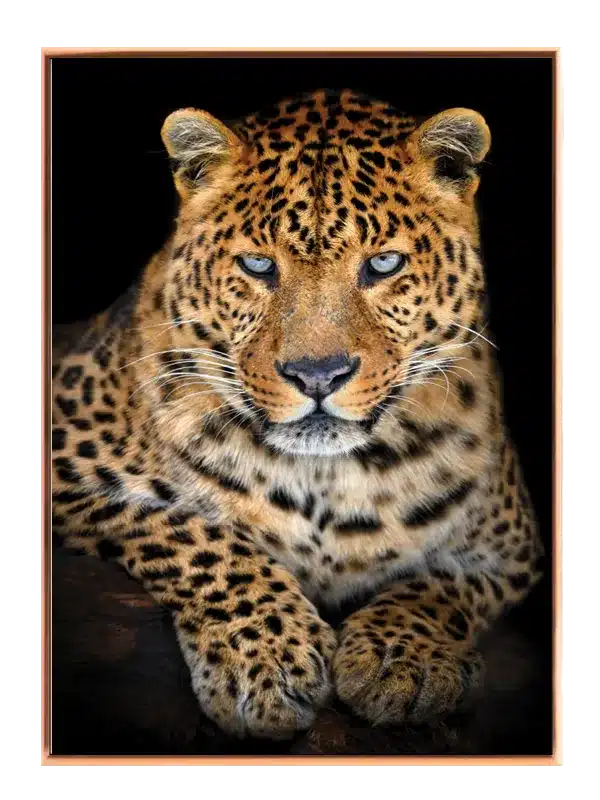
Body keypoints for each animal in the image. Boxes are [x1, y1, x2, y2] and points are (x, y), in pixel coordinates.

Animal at [51, 88, 544, 740]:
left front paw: (402, 659)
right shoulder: (66, 470)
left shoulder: (511, 546)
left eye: (383, 264)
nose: (318, 375)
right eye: (258, 267)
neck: (325, 480)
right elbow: (191, 531)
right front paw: (265, 659)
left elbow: (444, 587)